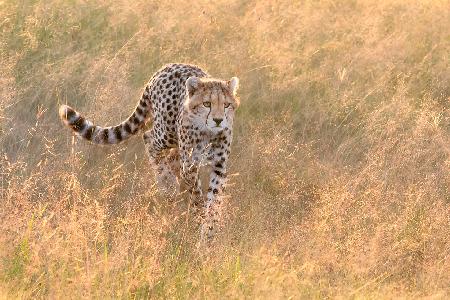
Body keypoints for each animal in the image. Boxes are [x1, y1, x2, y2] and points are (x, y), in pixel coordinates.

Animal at [59, 62, 239, 239]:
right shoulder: (189, 166)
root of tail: (166, 67)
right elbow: (197, 195)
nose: (218, 120)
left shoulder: (219, 165)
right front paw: (201, 217)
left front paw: (209, 228)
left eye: (226, 105)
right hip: (167, 132)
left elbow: (214, 198)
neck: (209, 133)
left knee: (170, 157)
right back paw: (168, 183)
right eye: (207, 104)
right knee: (149, 138)